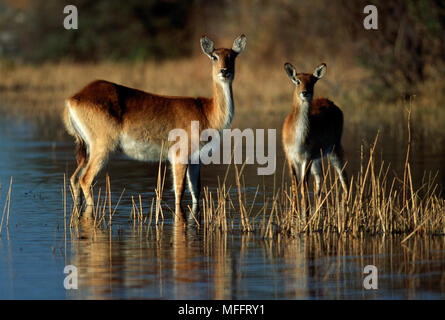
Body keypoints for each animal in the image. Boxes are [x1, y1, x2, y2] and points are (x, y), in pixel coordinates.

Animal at [63, 34, 246, 220]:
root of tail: (73, 98)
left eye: (232, 56)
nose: (224, 71)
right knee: (85, 179)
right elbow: (179, 192)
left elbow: (196, 192)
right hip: (102, 147)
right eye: (214, 56)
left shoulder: (195, 159)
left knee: (74, 179)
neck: (206, 112)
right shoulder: (179, 156)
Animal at [280, 61, 346, 199]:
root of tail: (329, 101)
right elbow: (295, 187)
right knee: (320, 179)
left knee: (343, 177)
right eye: (297, 80)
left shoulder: (307, 157)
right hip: (318, 158)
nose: (305, 92)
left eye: (313, 81)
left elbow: (303, 187)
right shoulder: (291, 157)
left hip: (334, 148)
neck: (298, 138)